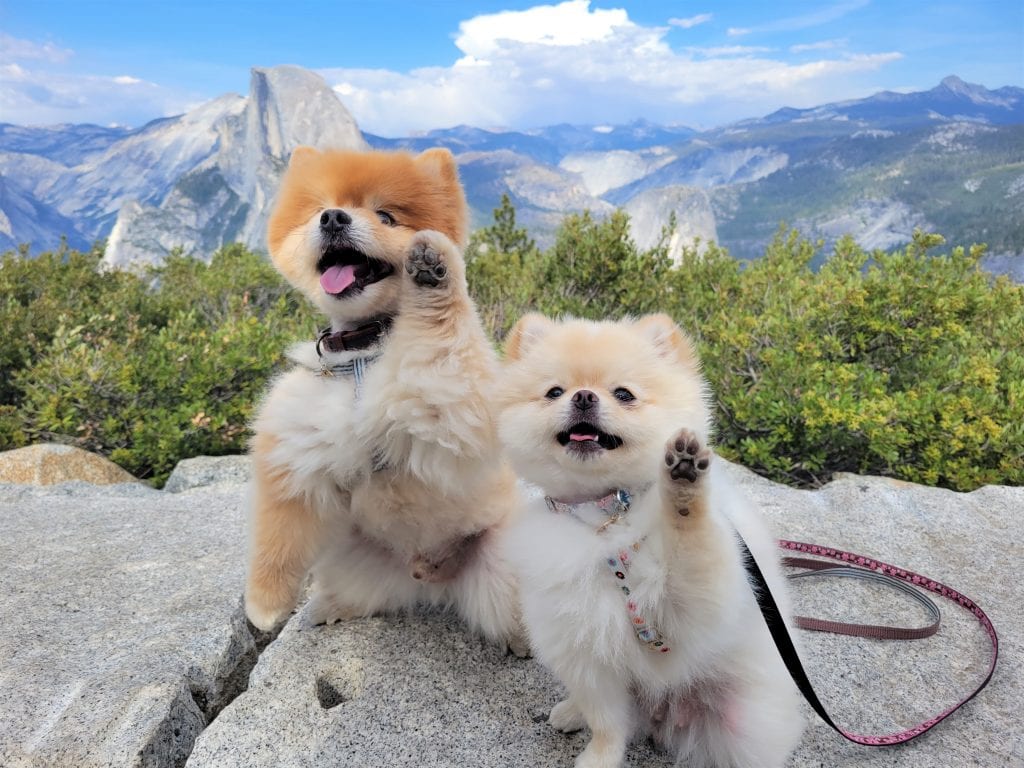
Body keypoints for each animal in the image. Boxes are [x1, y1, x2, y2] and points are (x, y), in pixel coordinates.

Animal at [243, 145, 524, 655]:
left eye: (387, 216)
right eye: (320, 209)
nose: (334, 218)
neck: (361, 354)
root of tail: (430, 577)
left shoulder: (447, 398)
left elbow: (443, 330)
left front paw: (433, 270)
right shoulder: (298, 454)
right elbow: (279, 534)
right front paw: (265, 605)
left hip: (504, 559)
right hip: (353, 557)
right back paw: (327, 608)